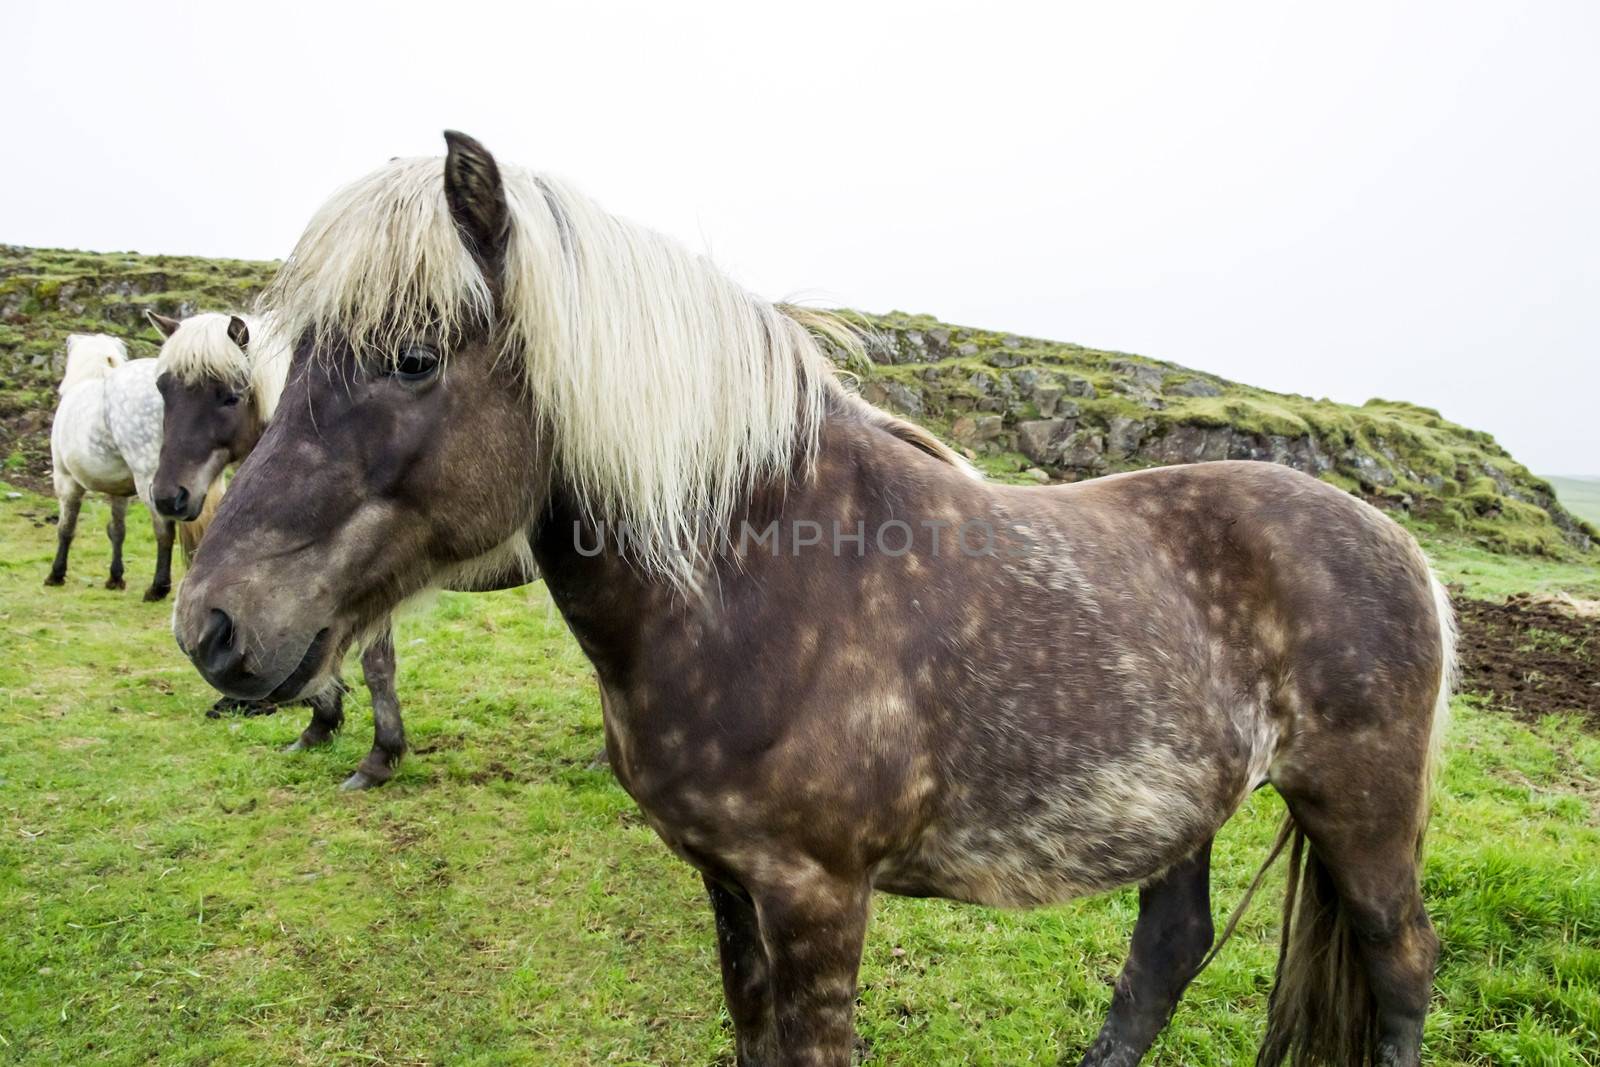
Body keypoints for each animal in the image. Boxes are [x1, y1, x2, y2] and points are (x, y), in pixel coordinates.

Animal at [46, 334, 214, 601]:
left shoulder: (66, 481)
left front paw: (56, 574)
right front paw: (115, 578)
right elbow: (117, 530)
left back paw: (158, 587)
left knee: (164, 531)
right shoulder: (119, 491)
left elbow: (66, 528)